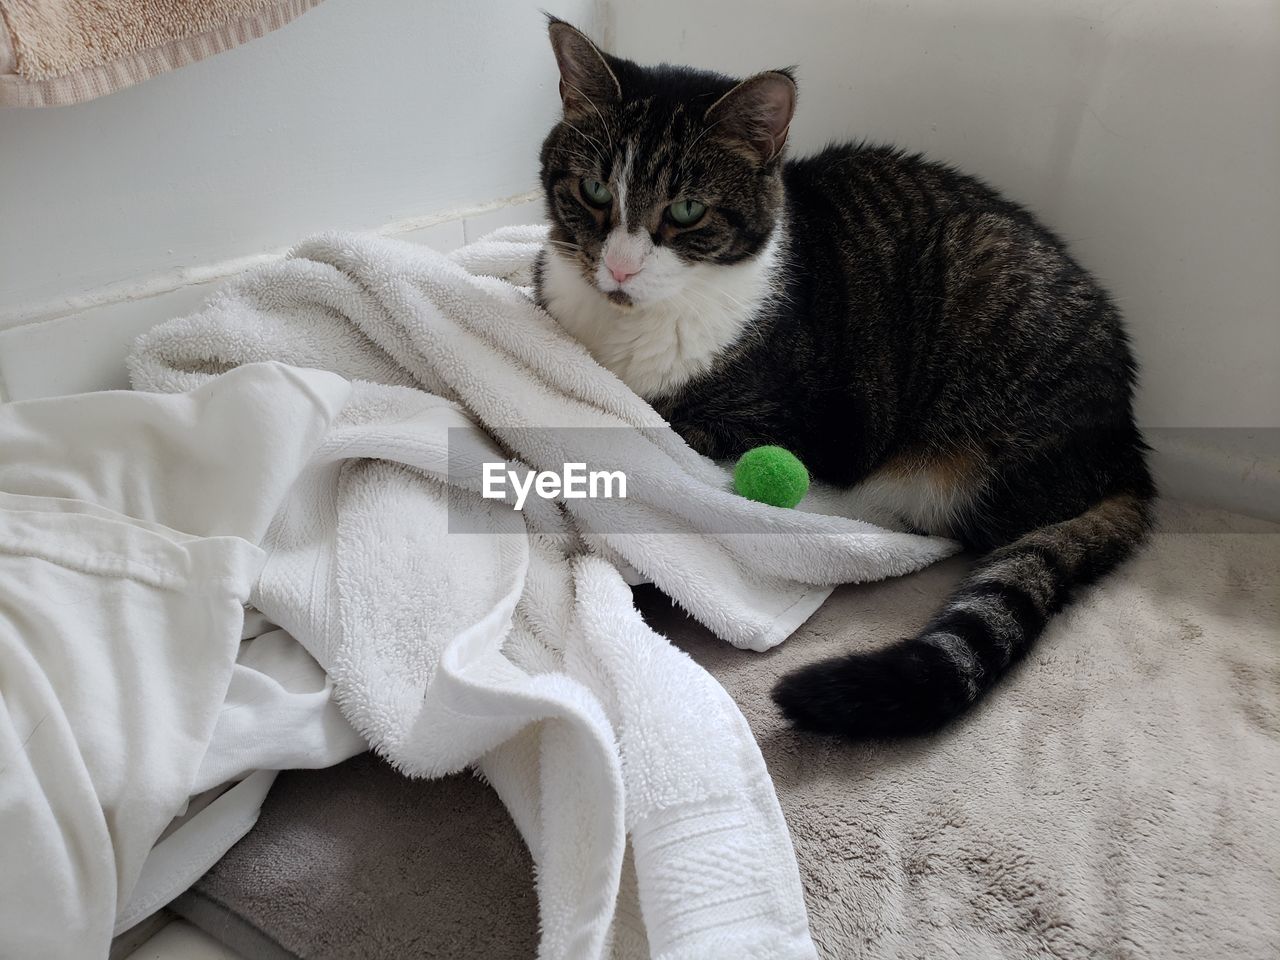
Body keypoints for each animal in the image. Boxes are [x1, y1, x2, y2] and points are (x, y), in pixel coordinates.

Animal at [535, 16, 1157, 742]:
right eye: (595, 193)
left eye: (687, 210)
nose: (622, 268)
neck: (627, 329)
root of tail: (1126, 446)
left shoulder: (802, 419)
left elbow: (672, 423)